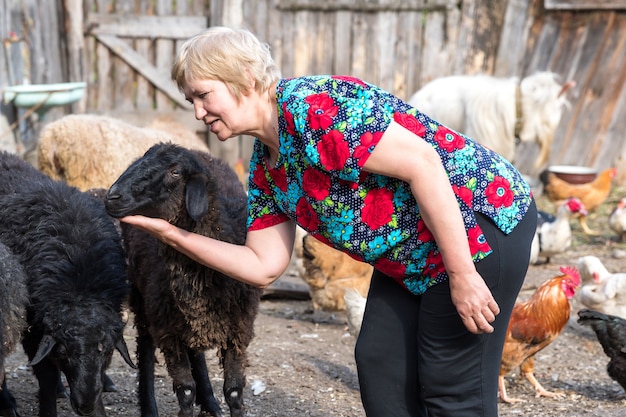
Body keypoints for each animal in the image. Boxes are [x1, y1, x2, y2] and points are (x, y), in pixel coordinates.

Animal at [106, 144, 262, 416]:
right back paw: (149, 408)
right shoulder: (169, 331)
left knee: (196, 353)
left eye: (175, 172)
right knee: (145, 351)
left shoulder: (237, 331)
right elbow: (186, 391)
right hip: (144, 300)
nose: (112, 198)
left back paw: (210, 402)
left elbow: (233, 391)